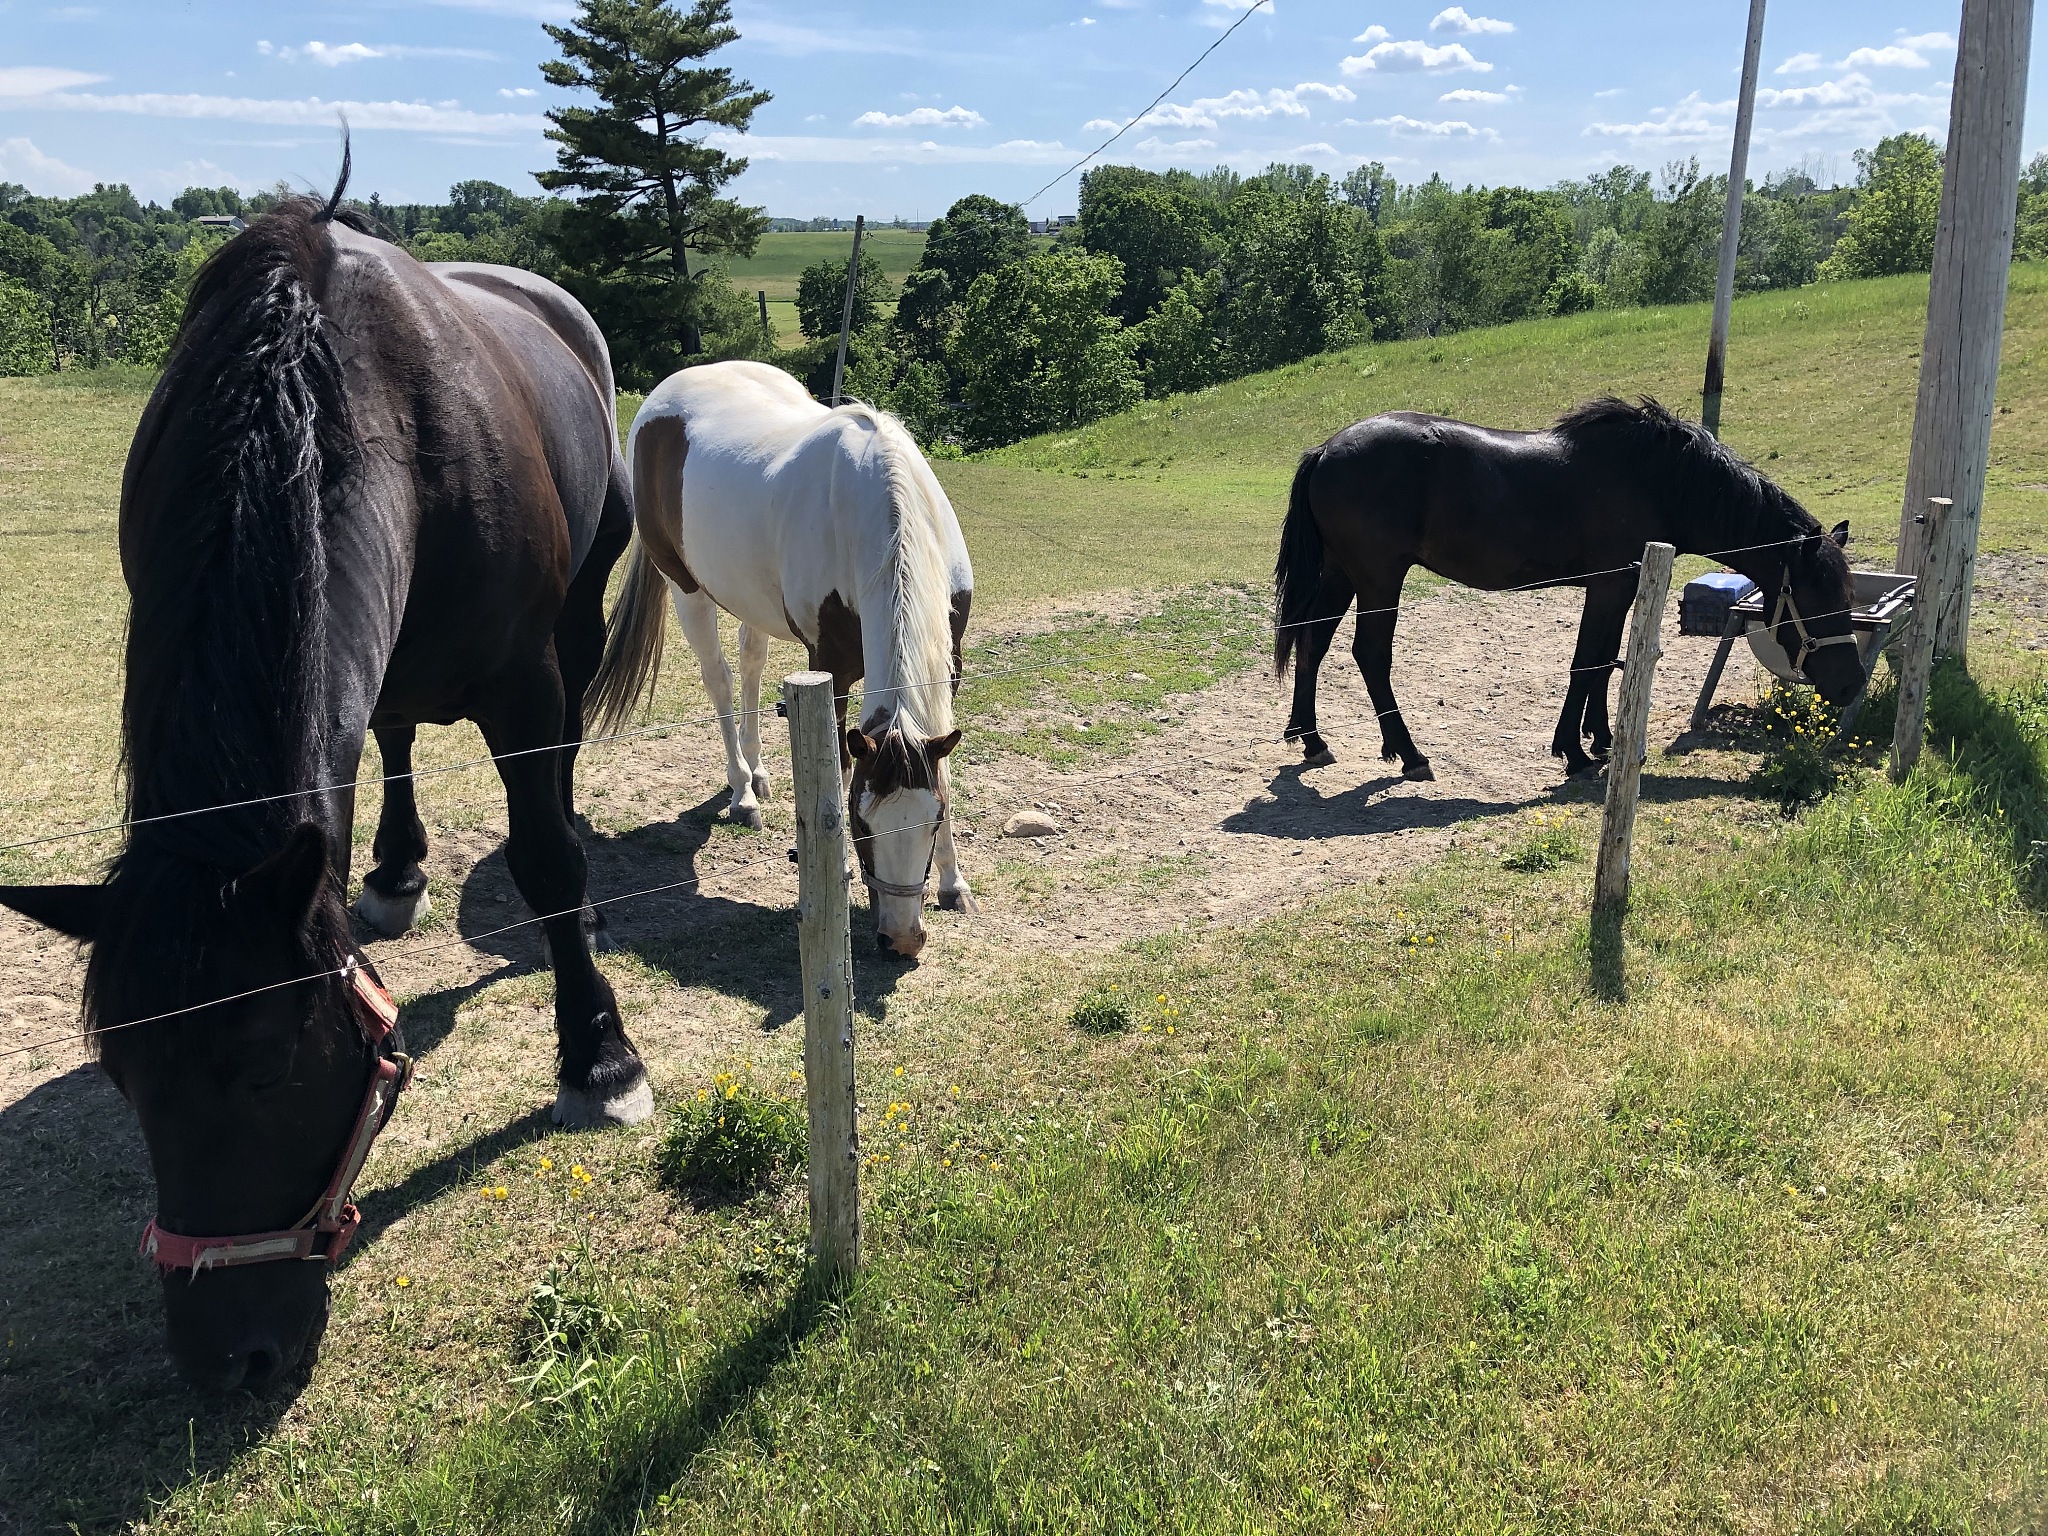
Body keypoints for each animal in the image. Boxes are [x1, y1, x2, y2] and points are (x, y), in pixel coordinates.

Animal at [0, 168, 647, 1392]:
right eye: (121, 1076)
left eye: (263, 1068)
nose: (227, 1362)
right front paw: (390, 877)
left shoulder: (526, 684)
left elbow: (545, 859)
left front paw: (599, 1052)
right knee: (391, 741)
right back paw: (394, 871)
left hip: (581, 619)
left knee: (556, 778)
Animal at [588, 360, 975, 960]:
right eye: (862, 823)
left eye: (930, 822)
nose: (902, 939)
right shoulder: (831, 671)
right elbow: (837, 770)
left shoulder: (949, 664)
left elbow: (946, 769)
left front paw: (954, 884)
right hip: (687, 590)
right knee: (721, 681)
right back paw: (743, 792)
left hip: (750, 601)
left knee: (750, 665)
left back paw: (759, 771)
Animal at [1274, 396, 1865, 780]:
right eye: (1819, 600)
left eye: (1849, 598)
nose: (1852, 684)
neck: (1657, 480)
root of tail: (1325, 450)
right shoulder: (1606, 587)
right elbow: (1589, 662)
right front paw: (1573, 751)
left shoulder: (1622, 588)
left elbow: (1607, 660)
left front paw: (1600, 739)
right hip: (1379, 579)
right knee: (1369, 654)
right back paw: (1409, 752)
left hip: (1341, 575)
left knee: (1313, 641)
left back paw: (1311, 739)